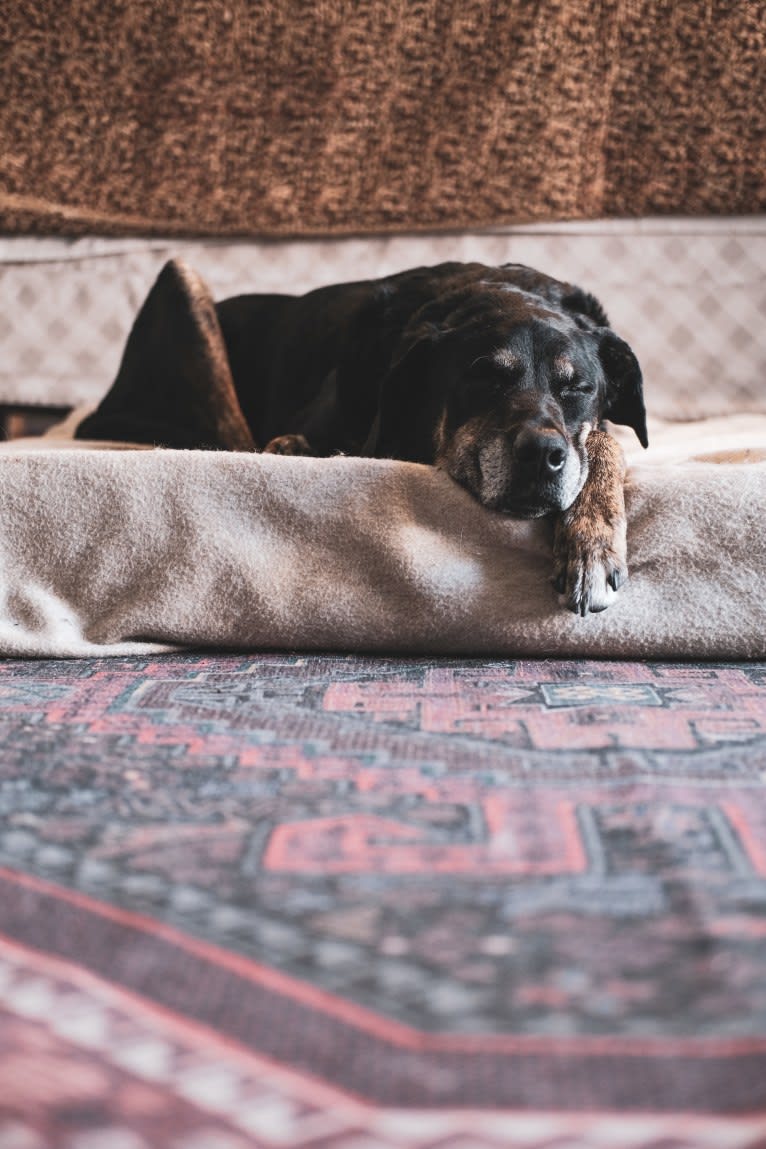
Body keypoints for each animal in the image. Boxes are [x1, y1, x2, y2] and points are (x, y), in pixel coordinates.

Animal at [76, 261, 647, 620]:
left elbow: (605, 443)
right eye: (482, 377)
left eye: (578, 388)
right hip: (180, 284)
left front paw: (592, 539)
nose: (542, 456)